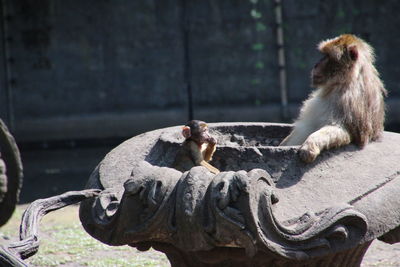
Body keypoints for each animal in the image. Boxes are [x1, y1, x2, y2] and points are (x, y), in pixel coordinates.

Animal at [282, 34, 388, 162]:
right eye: (324, 55)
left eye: (327, 56)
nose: (316, 64)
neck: (341, 82)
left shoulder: (347, 101)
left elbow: (343, 130)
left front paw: (310, 145)